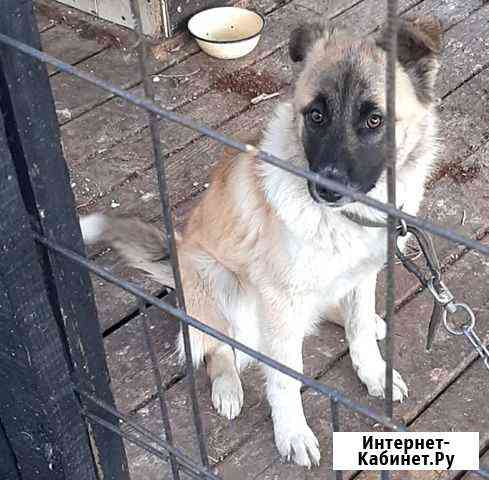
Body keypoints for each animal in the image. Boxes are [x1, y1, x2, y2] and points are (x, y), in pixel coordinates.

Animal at [81, 16, 442, 466]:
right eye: (316, 115)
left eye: (375, 119)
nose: (326, 189)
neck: (343, 220)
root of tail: (176, 256)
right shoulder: (279, 299)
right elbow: (285, 377)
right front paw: (292, 432)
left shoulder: (362, 274)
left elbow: (357, 328)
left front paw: (374, 371)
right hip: (220, 281)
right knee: (218, 349)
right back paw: (228, 387)